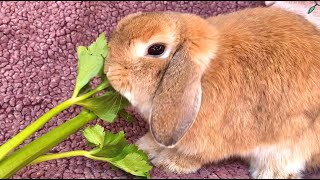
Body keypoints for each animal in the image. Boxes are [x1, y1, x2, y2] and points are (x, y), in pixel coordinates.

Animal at [105, 5, 320, 179]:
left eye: (156, 49)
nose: (108, 71)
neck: (200, 77)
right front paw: (144, 146)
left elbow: (194, 155)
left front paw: (169, 163)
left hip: (292, 143)